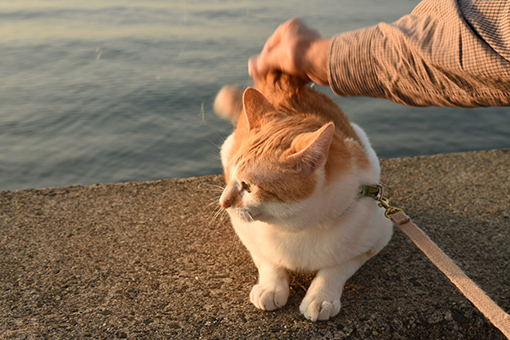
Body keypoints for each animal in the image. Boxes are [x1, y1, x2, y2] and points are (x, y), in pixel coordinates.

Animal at [213, 71, 392, 322]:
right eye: (231, 174)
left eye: (248, 186)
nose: (223, 203)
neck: (294, 228)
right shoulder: (246, 233)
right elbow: (268, 259)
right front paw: (271, 287)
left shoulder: (378, 238)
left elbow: (337, 267)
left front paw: (321, 296)